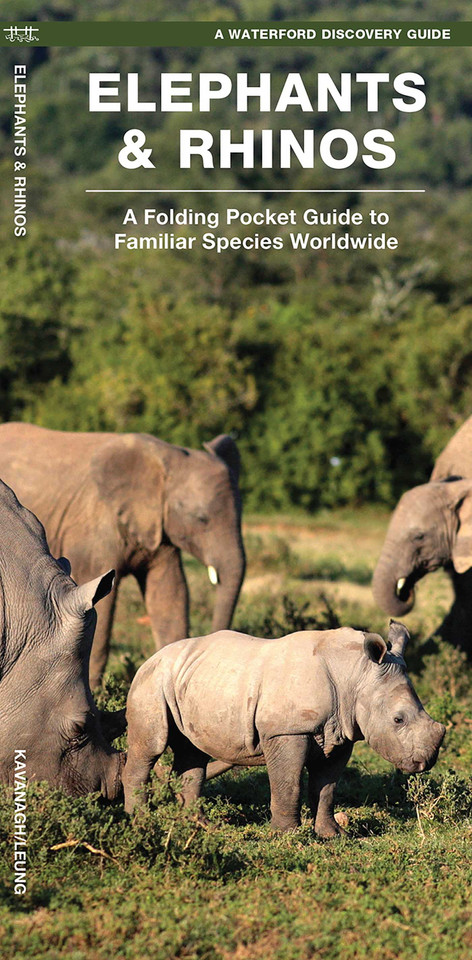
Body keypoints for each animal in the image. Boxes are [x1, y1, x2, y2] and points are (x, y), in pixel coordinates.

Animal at [0, 423, 245, 687]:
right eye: (201, 519)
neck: (167, 456)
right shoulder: (95, 524)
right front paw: (96, 688)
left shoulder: (158, 527)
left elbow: (169, 592)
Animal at [123, 620, 445, 835]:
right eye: (398, 720)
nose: (425, 762)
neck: (356, 674)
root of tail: (151, 657)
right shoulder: (287, 730)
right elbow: (288, 783)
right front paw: (287, 835)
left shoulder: (341, 733)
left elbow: (327, 787)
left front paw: (332, 835)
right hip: (152, 680)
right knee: (151, 746)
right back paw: (138, 820)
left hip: (193, 680)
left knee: (192, 752)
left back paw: (200, 824)